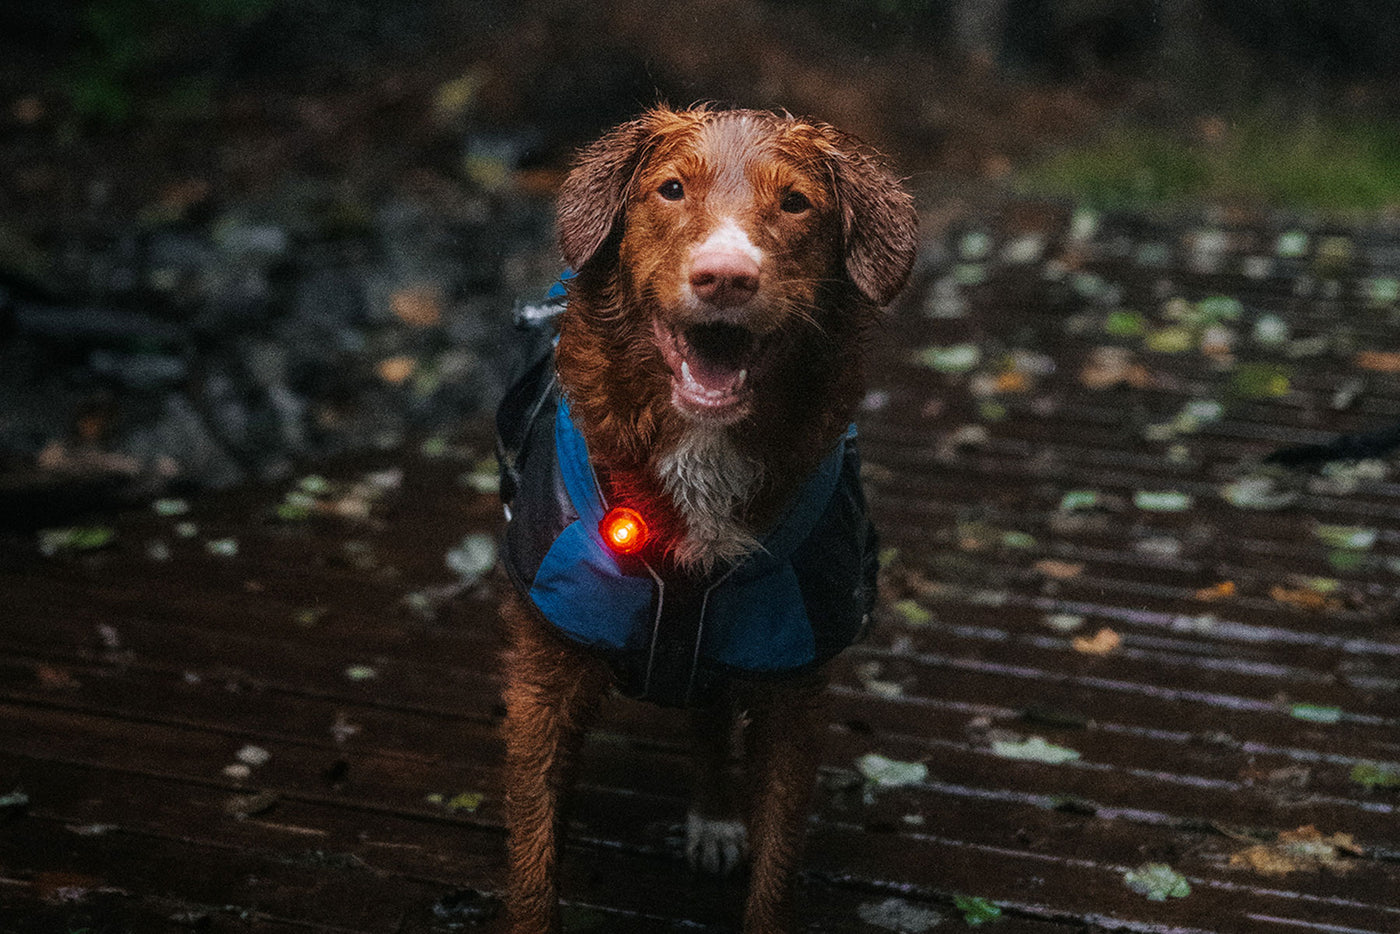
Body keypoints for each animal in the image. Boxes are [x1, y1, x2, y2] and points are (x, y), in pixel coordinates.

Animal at [495, 104, 918, 934]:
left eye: (796, 203)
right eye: (670, 189)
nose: (725, 275)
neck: (701, 450)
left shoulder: (793, 687)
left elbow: (776, 871)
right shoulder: (543, 680)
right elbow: (534, 860)